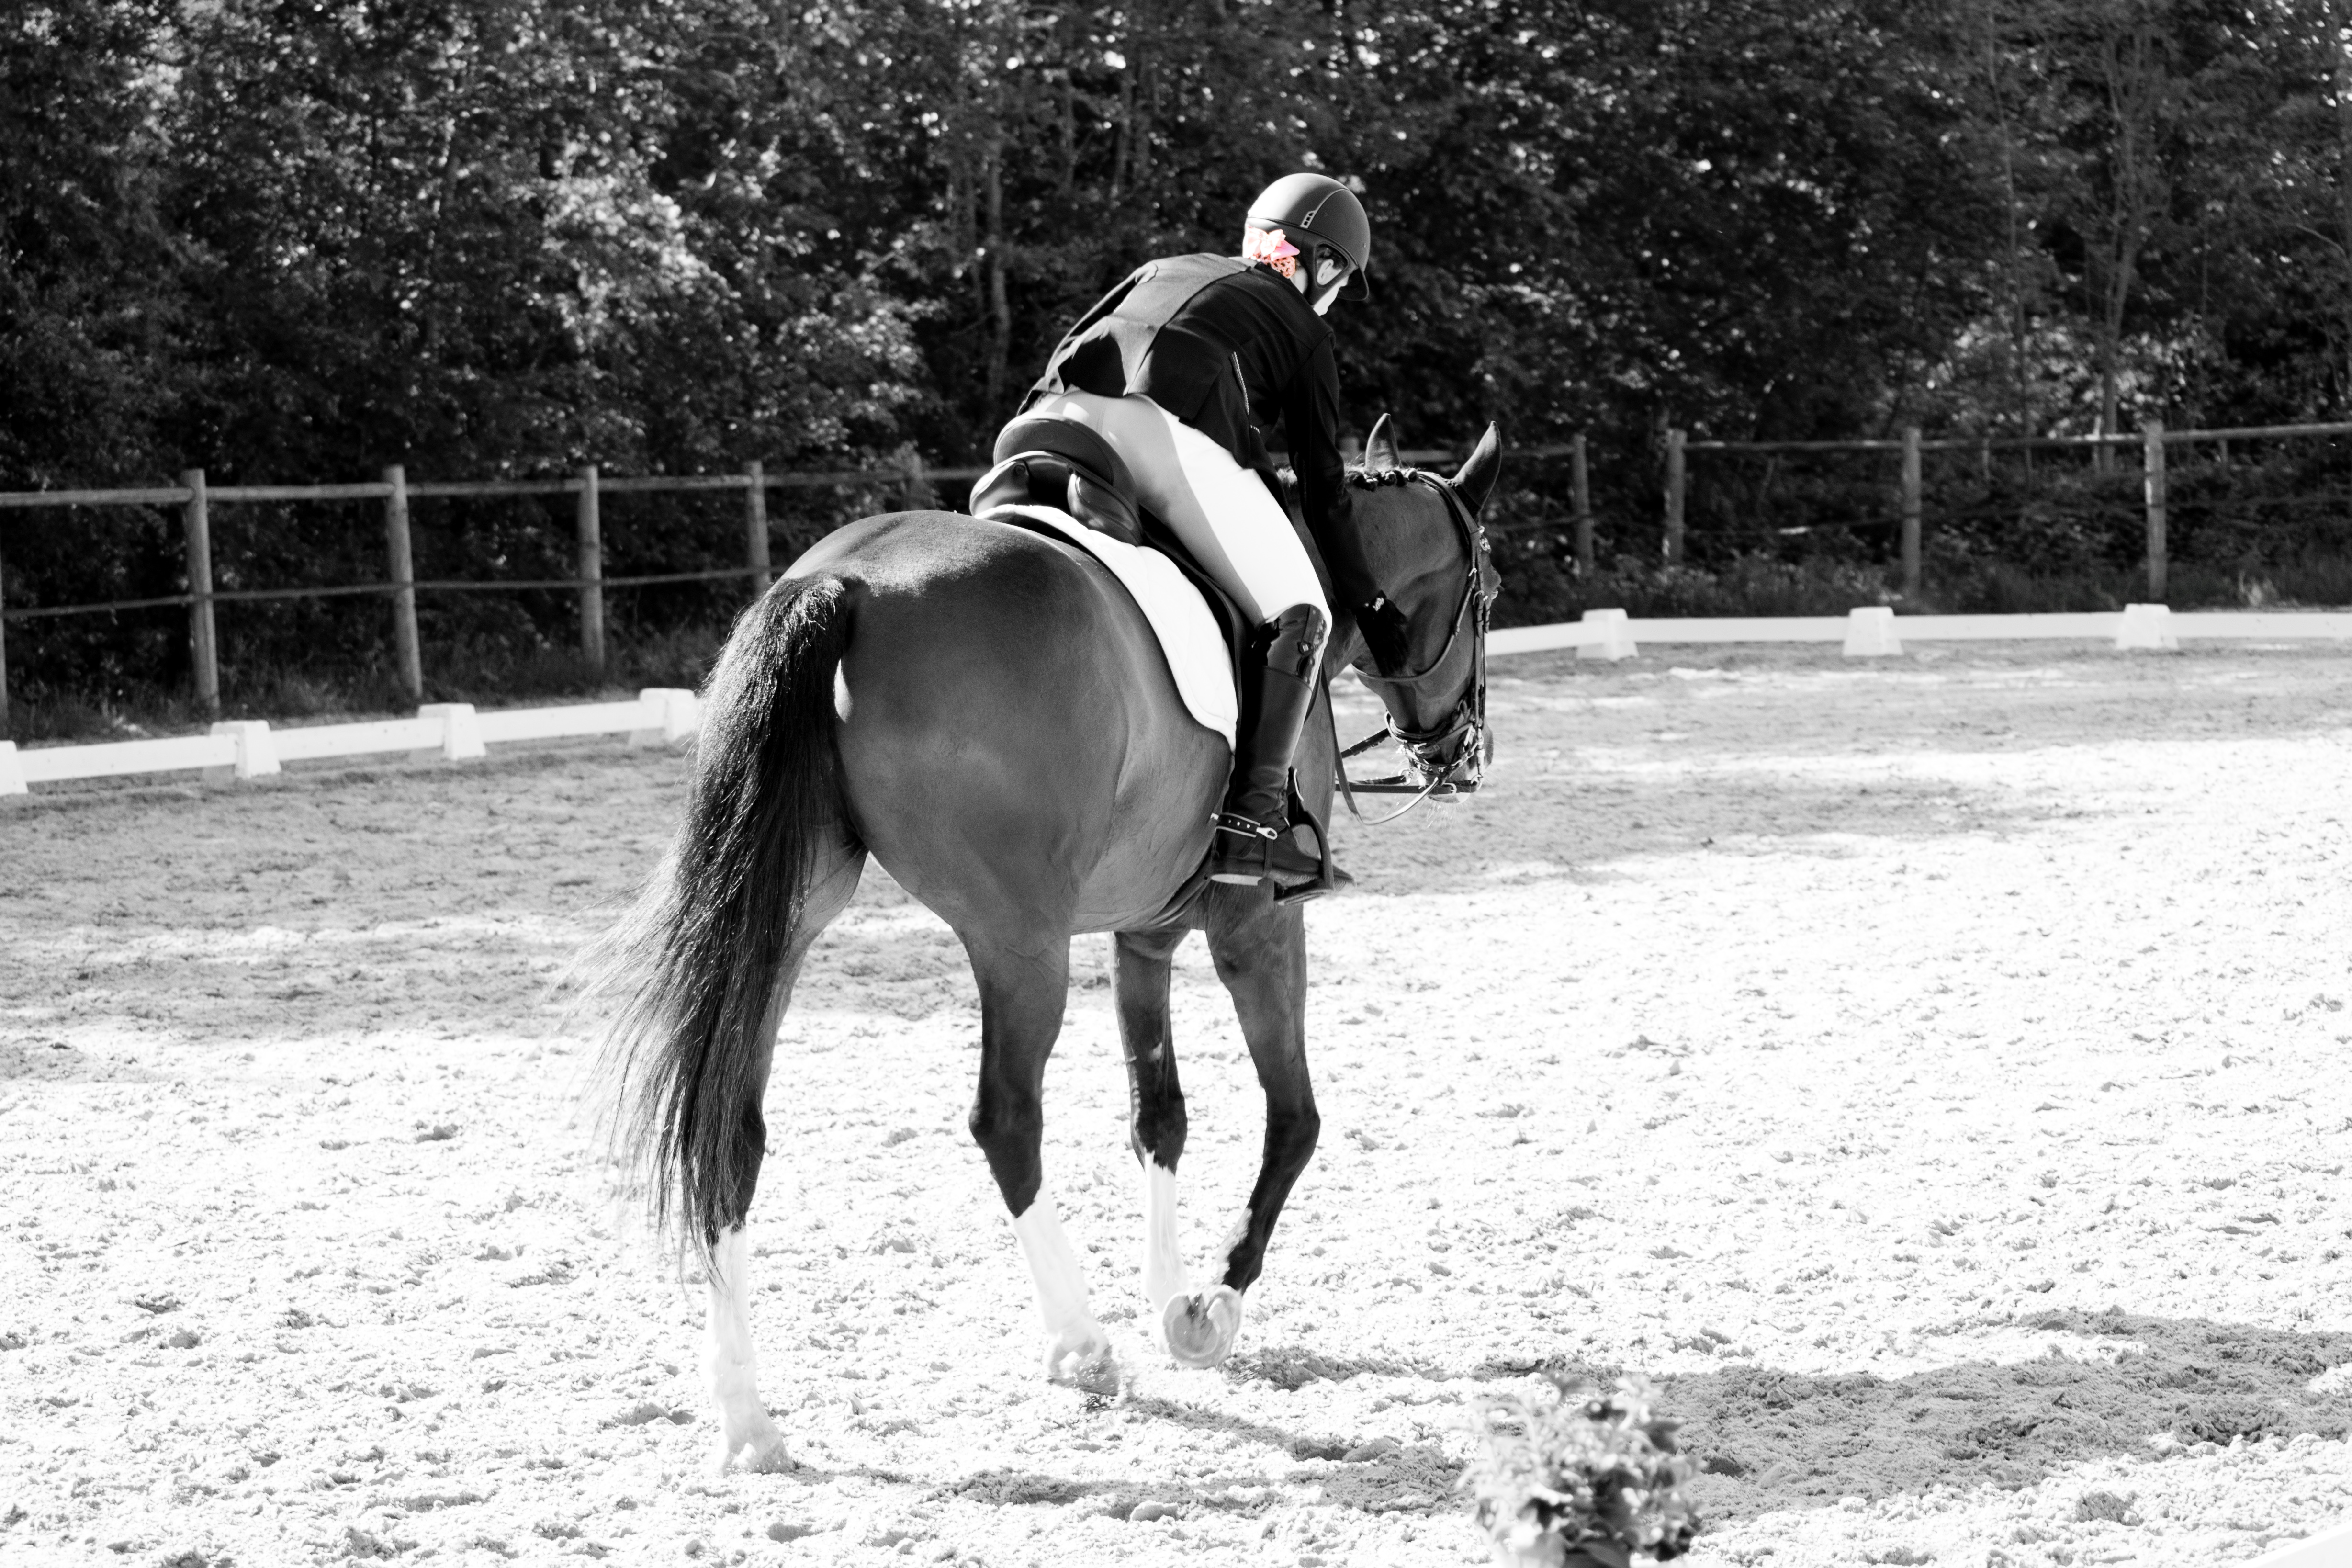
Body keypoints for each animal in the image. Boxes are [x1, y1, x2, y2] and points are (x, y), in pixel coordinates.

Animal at [591, 415, 1502, 1471]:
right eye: (1487, 587)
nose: (1462, 753)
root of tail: (845, 583)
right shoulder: (1260, 924)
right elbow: (1295, 1119)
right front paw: (1208, 1307)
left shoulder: (1145, 931)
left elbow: (1160, 1117)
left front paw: (1170, 1291)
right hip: (1019, 940)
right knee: (1006, 1119)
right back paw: (1080, 1343)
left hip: (791, 919)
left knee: (732, 1126)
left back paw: (747, 1421)